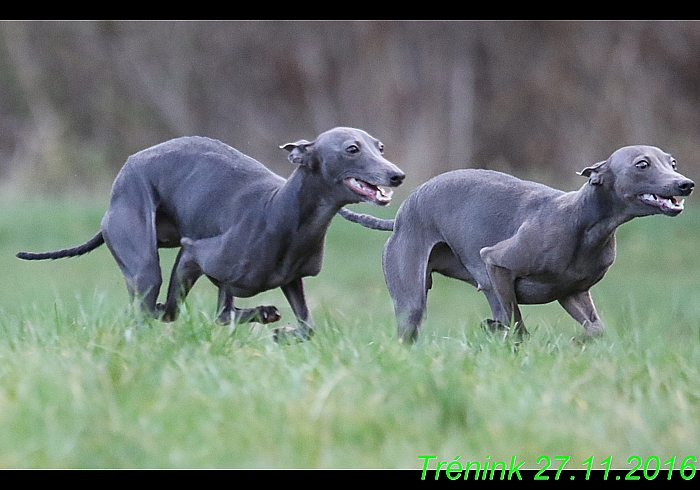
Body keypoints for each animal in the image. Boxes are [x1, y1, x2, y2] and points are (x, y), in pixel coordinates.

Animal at [16, 128, 404, 338]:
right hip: (144, 263)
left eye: (380, 147)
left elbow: (305, 327)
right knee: (154, 306)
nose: (397, 175)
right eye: (352, 149)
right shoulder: (194, 254)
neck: (282, 212)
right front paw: (267, 318)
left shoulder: (291, 280)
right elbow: (205, 313)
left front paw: (281, 331)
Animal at [340, 147, 696, 342]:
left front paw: (578, 342)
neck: (584, 223)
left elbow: (596, 328)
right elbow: (517, 324)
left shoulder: (573, 293)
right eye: (642, 164)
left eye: (672, 163)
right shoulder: (496, 262)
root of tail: (399, 217)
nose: (686, 184)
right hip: (413, 295)